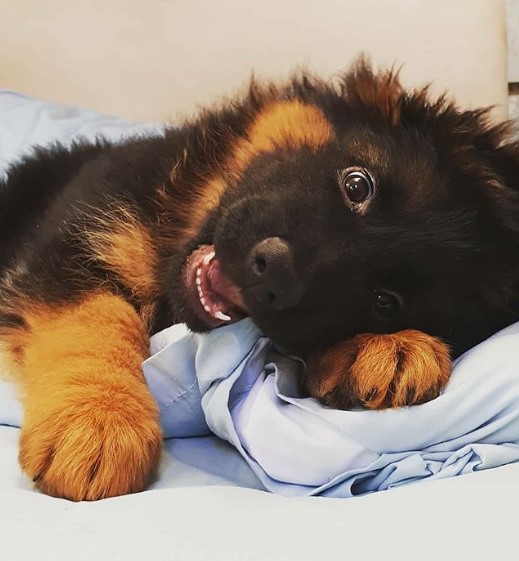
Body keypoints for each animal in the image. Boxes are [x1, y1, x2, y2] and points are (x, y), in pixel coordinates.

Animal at [1, 61, 519, 498]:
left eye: (386, 302)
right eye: (358, 184)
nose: (274, 272)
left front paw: (387, 348)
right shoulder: (70, 241)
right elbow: (94, 320)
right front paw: (97, 417)